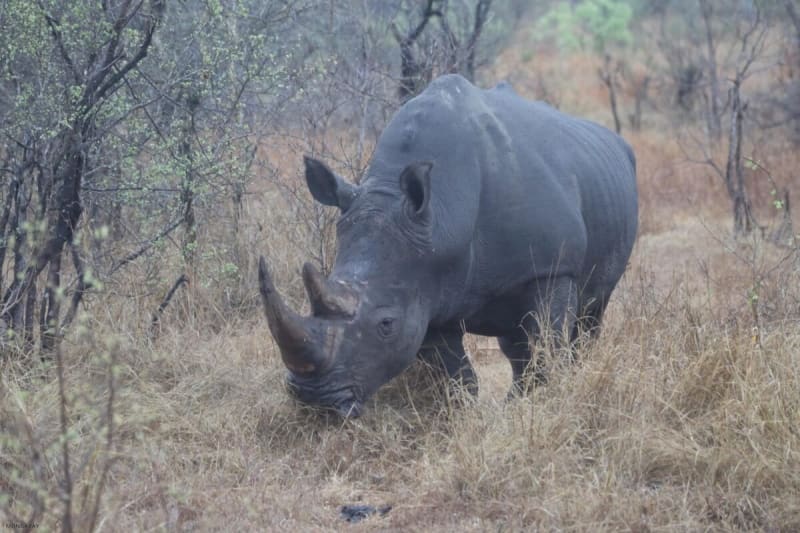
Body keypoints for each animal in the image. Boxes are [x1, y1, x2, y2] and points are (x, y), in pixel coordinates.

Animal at [258, 74, 638, 417]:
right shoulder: (424, 288)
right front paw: (469, 417)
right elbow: (457, 378)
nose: (314, 400)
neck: (440, 216)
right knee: (515, 341)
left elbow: (547, 348)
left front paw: (539, 406)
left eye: (386, 324)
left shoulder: (552, 269)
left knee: (589, 317)